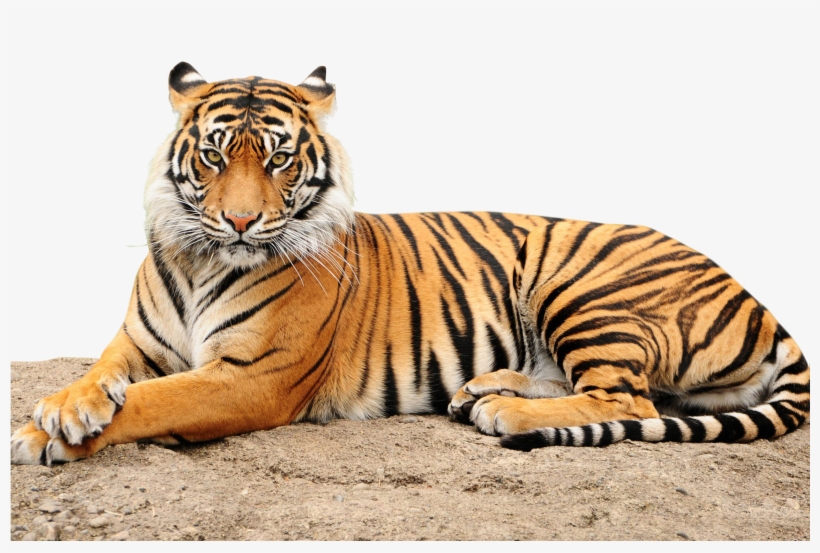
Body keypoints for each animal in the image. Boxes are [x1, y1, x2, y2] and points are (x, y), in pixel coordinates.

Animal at [10, 63, 809, 465]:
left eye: (277, 158)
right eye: (213, 155)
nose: (239, 221)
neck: (203, 257)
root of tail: (760, 300)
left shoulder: (251, 377)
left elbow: (154, 402)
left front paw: (44, 434)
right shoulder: (136, 343)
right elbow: (101, 375)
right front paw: (62, 408)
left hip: (581, 284)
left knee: (630, 400)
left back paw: (502, 409)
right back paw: (481, 390)